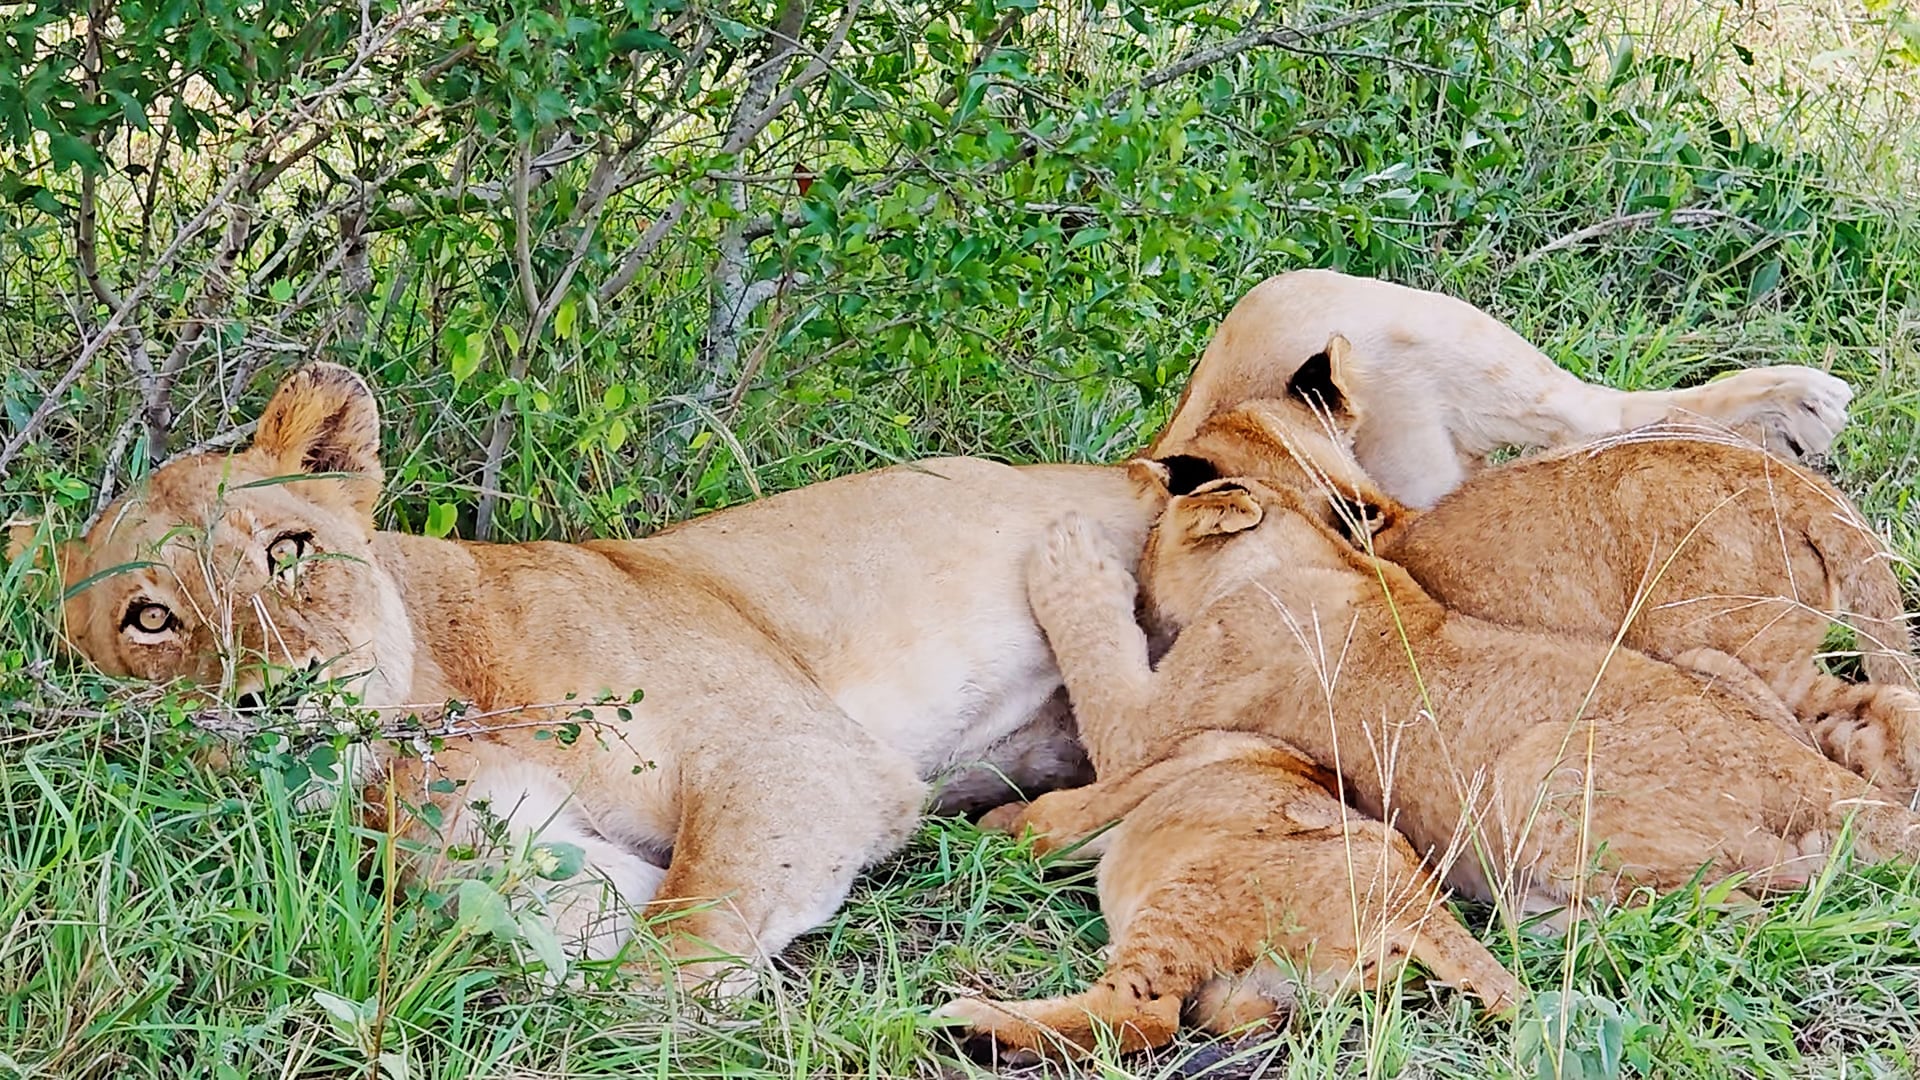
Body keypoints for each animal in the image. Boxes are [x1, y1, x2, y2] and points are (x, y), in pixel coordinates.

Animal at [936, 727, 1520, 1062]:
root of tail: (1417, 908)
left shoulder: (1128, 789)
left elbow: (1040, 822)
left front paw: (979, 832)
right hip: (1254, 994)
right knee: (1222, 1017)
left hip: (1193, 891)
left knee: (1144, 1013)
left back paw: (974, 1024)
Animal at [1012, 484, 1920, 933]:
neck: (1330, 561)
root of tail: (1807, 780)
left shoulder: (1154, 724)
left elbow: (1098, 657)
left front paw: (1067, 555)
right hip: (1705, 661)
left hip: (1532, 767)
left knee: (1737, 901)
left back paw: (1525, 916)